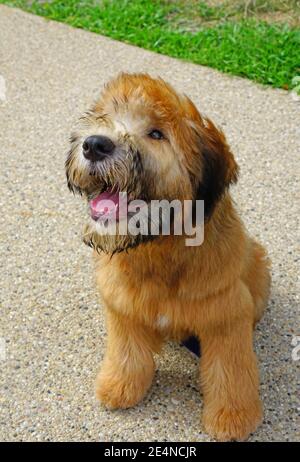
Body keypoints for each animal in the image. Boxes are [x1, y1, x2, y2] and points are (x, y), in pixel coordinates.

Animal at [66, 74, 272, 442]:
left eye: (157, 134)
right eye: (104, 116)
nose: (94, 144)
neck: (160, 251)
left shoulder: (226, 314)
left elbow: (231, 371)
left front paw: (233, 417)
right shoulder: (122, 305)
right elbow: (127, 354)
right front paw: (119, 386)